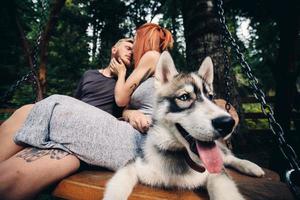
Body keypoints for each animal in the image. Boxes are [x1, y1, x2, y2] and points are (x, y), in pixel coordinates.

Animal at [103, 51, 264, 200]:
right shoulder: (134, 165)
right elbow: (118, 185)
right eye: (184, 97)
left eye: (210, 96)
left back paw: (251, 167)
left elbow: (224, 187)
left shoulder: (216, 174)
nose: (227, 123)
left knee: (228, 158)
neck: (180, 155)